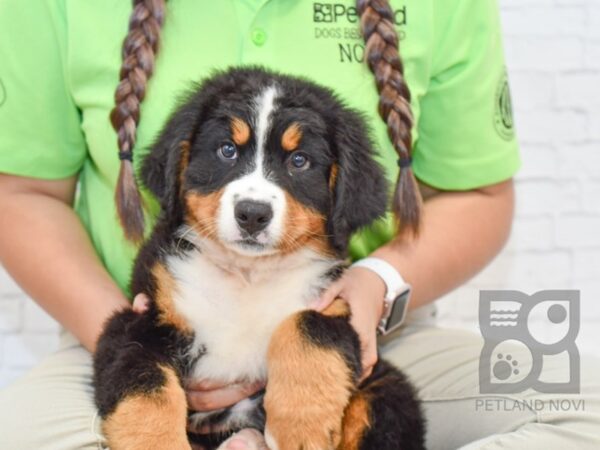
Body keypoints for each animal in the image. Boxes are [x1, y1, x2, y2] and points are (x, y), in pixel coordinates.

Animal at [92, 67, 422, 450]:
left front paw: (300, 430)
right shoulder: (141, 318)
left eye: (299, 161)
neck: (248, 275)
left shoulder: (334, 307)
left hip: (386, 389)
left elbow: (307, 329)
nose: (252, 213)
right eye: (227, 150)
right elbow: (146, 391)